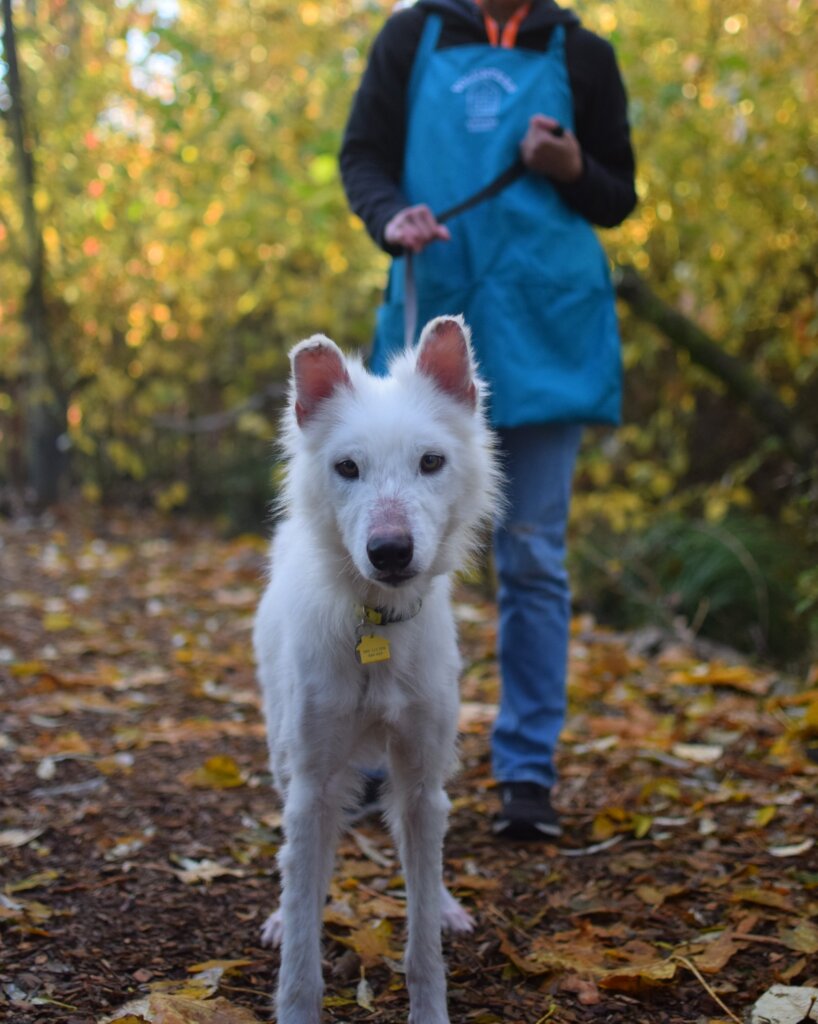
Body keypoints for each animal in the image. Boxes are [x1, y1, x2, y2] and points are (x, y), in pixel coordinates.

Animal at [252, 315, 501, 1019]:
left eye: (430, 462)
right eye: (347, 467)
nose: (389, 552)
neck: (376, 625)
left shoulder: (418, 784)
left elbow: (421, 944)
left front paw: (430, 1006)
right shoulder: (312, 787)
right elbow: (302, 946)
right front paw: (296, 1002)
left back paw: (445, 905)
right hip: (284, 751)